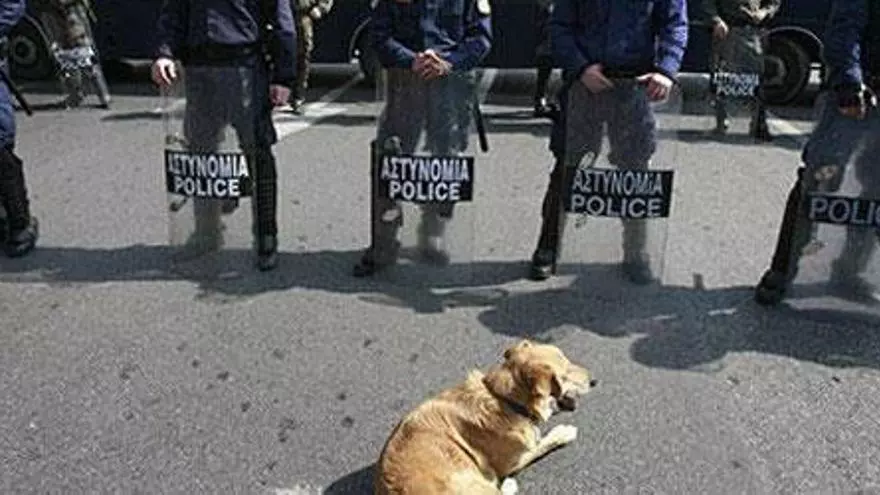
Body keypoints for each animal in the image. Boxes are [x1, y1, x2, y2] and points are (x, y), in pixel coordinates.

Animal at [374, 339, 597, 495]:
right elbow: (543, 443)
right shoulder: (514, 460)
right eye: (565, 375)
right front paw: (563, 432)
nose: (595, 380)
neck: (503, 399)